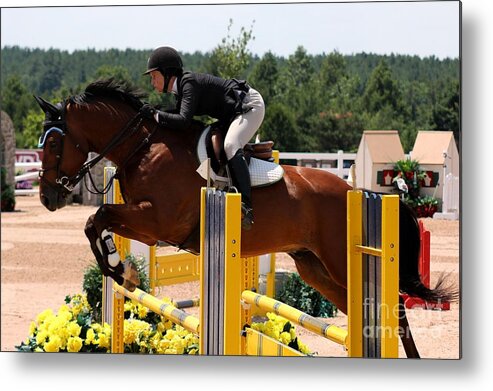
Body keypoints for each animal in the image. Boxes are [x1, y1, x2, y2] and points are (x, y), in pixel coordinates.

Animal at [35, 79, 458, 358]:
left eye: (54, 142)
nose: (47, 197)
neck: (143, 146)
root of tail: (362, 192)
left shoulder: (158, 223)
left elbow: (100, 215)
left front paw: (121, 270)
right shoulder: (147, 223)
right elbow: (96, 223)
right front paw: (122, 270)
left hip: (339, 260)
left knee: (397, 306)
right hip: (315, 268)